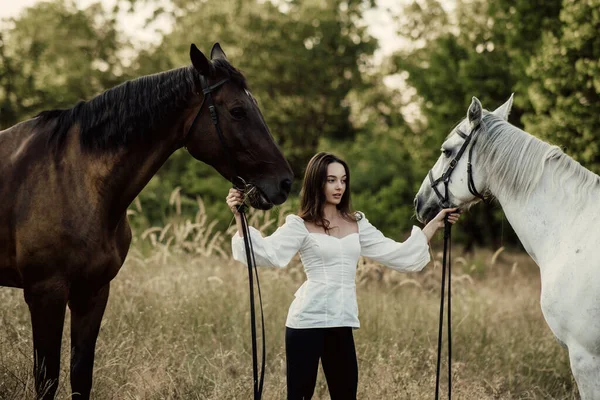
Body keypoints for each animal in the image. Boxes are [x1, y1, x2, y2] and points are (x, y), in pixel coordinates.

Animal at [0, 42, 292, 398]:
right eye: (237, 111)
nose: (285, 183)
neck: (75, 180)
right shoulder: (46, 294)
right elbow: (47, 380)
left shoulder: (93, 292)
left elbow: (80, 375)